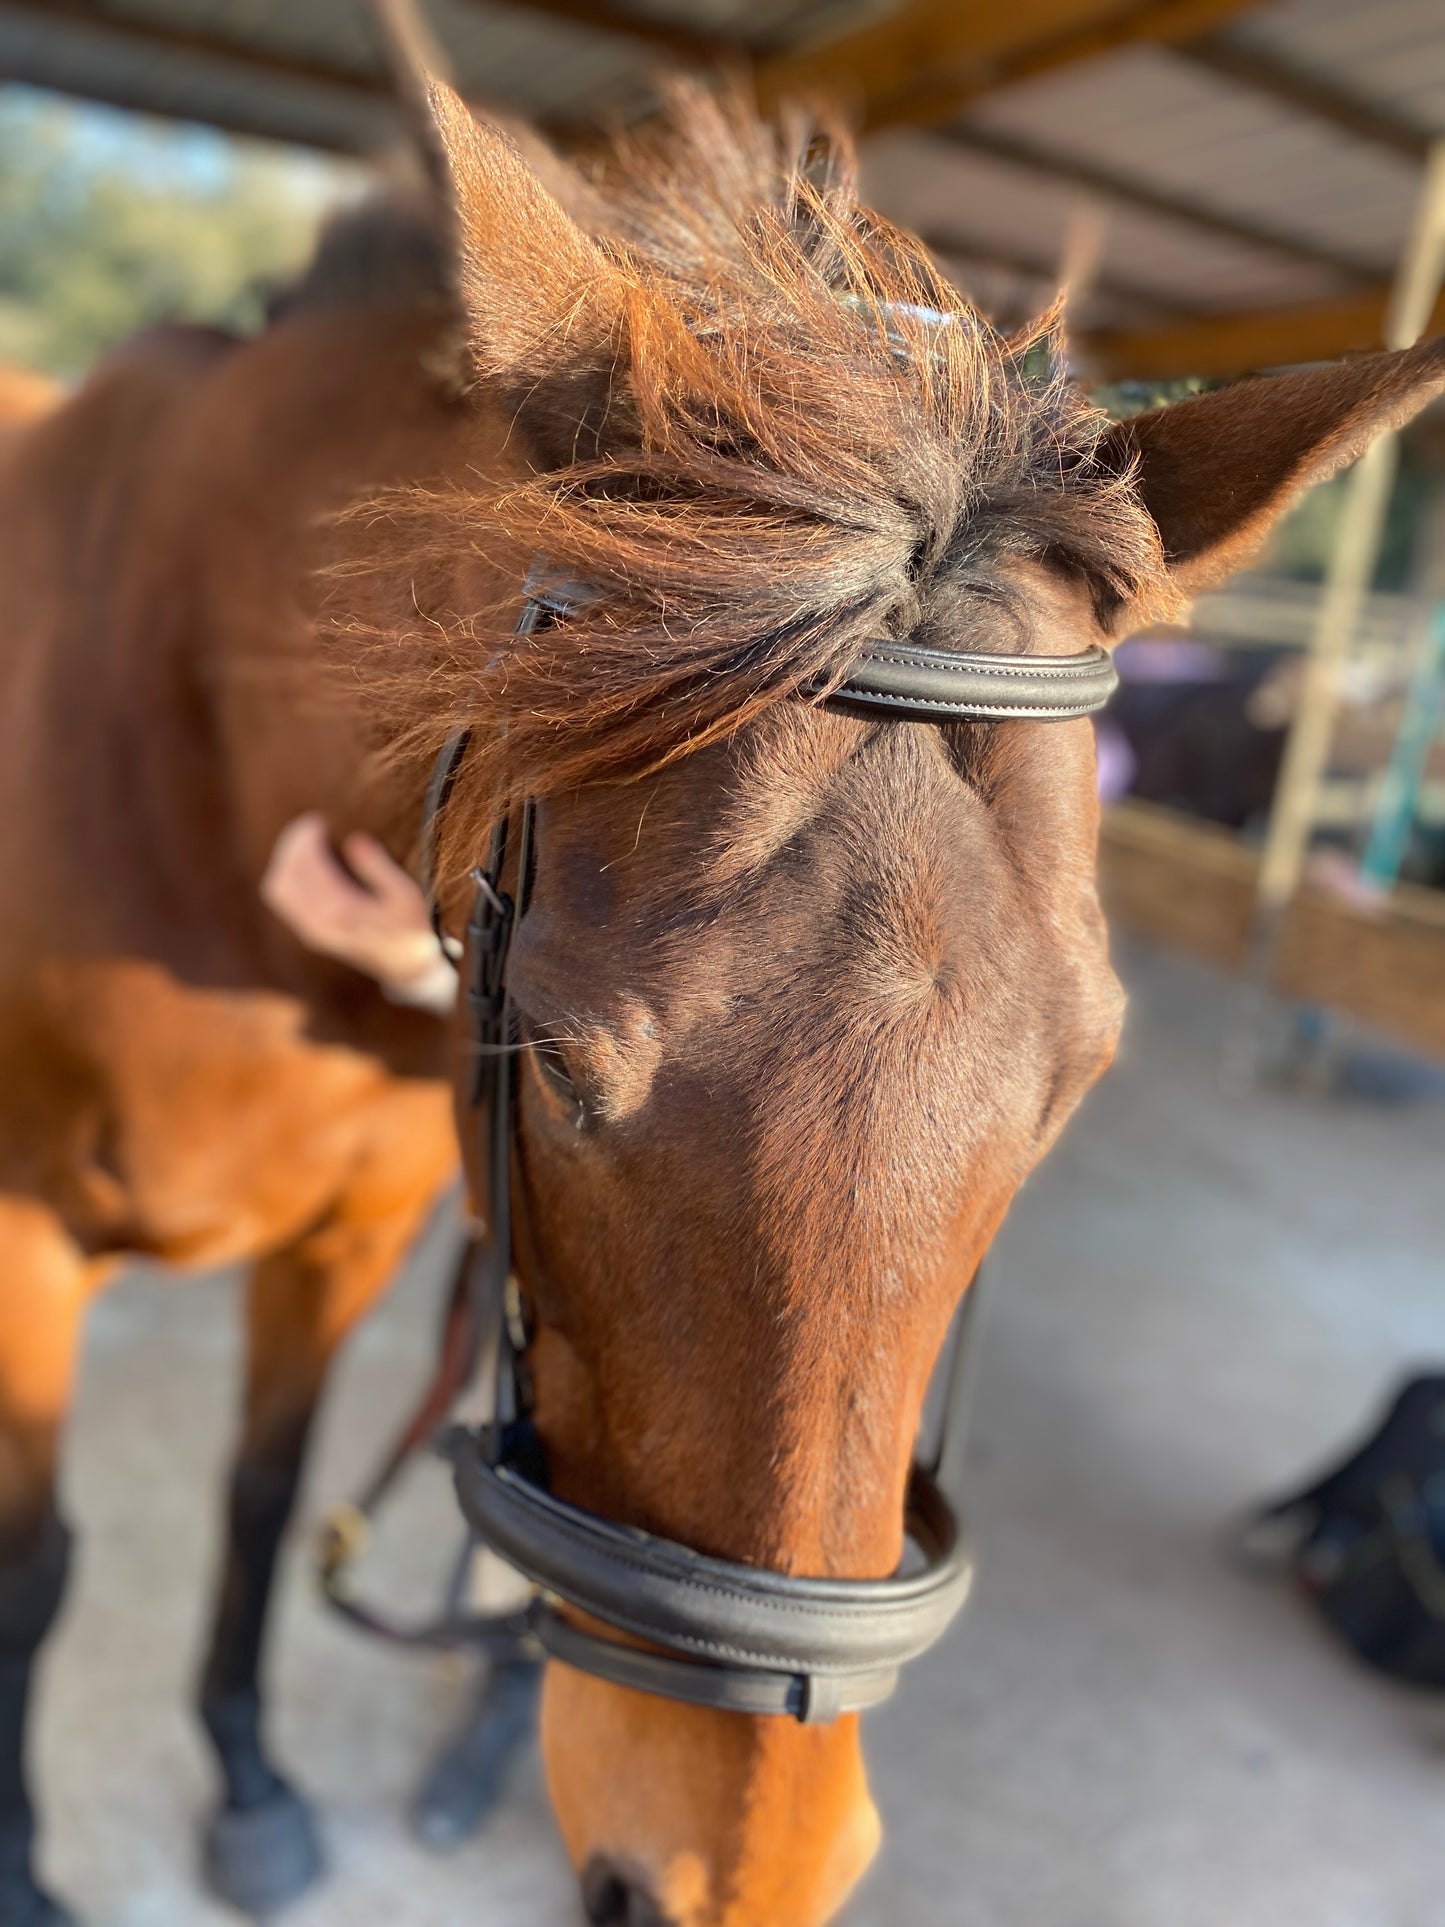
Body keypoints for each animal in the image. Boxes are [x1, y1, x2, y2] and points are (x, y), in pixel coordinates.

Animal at [2, 60, 1445, 1927]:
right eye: (549, 1057)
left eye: (1073, 1084)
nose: (731, 1874)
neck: (200, 742)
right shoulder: (23, 1239)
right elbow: (35, 1568)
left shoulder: (352, 1227)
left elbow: (257, 1496)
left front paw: (246, 1775)